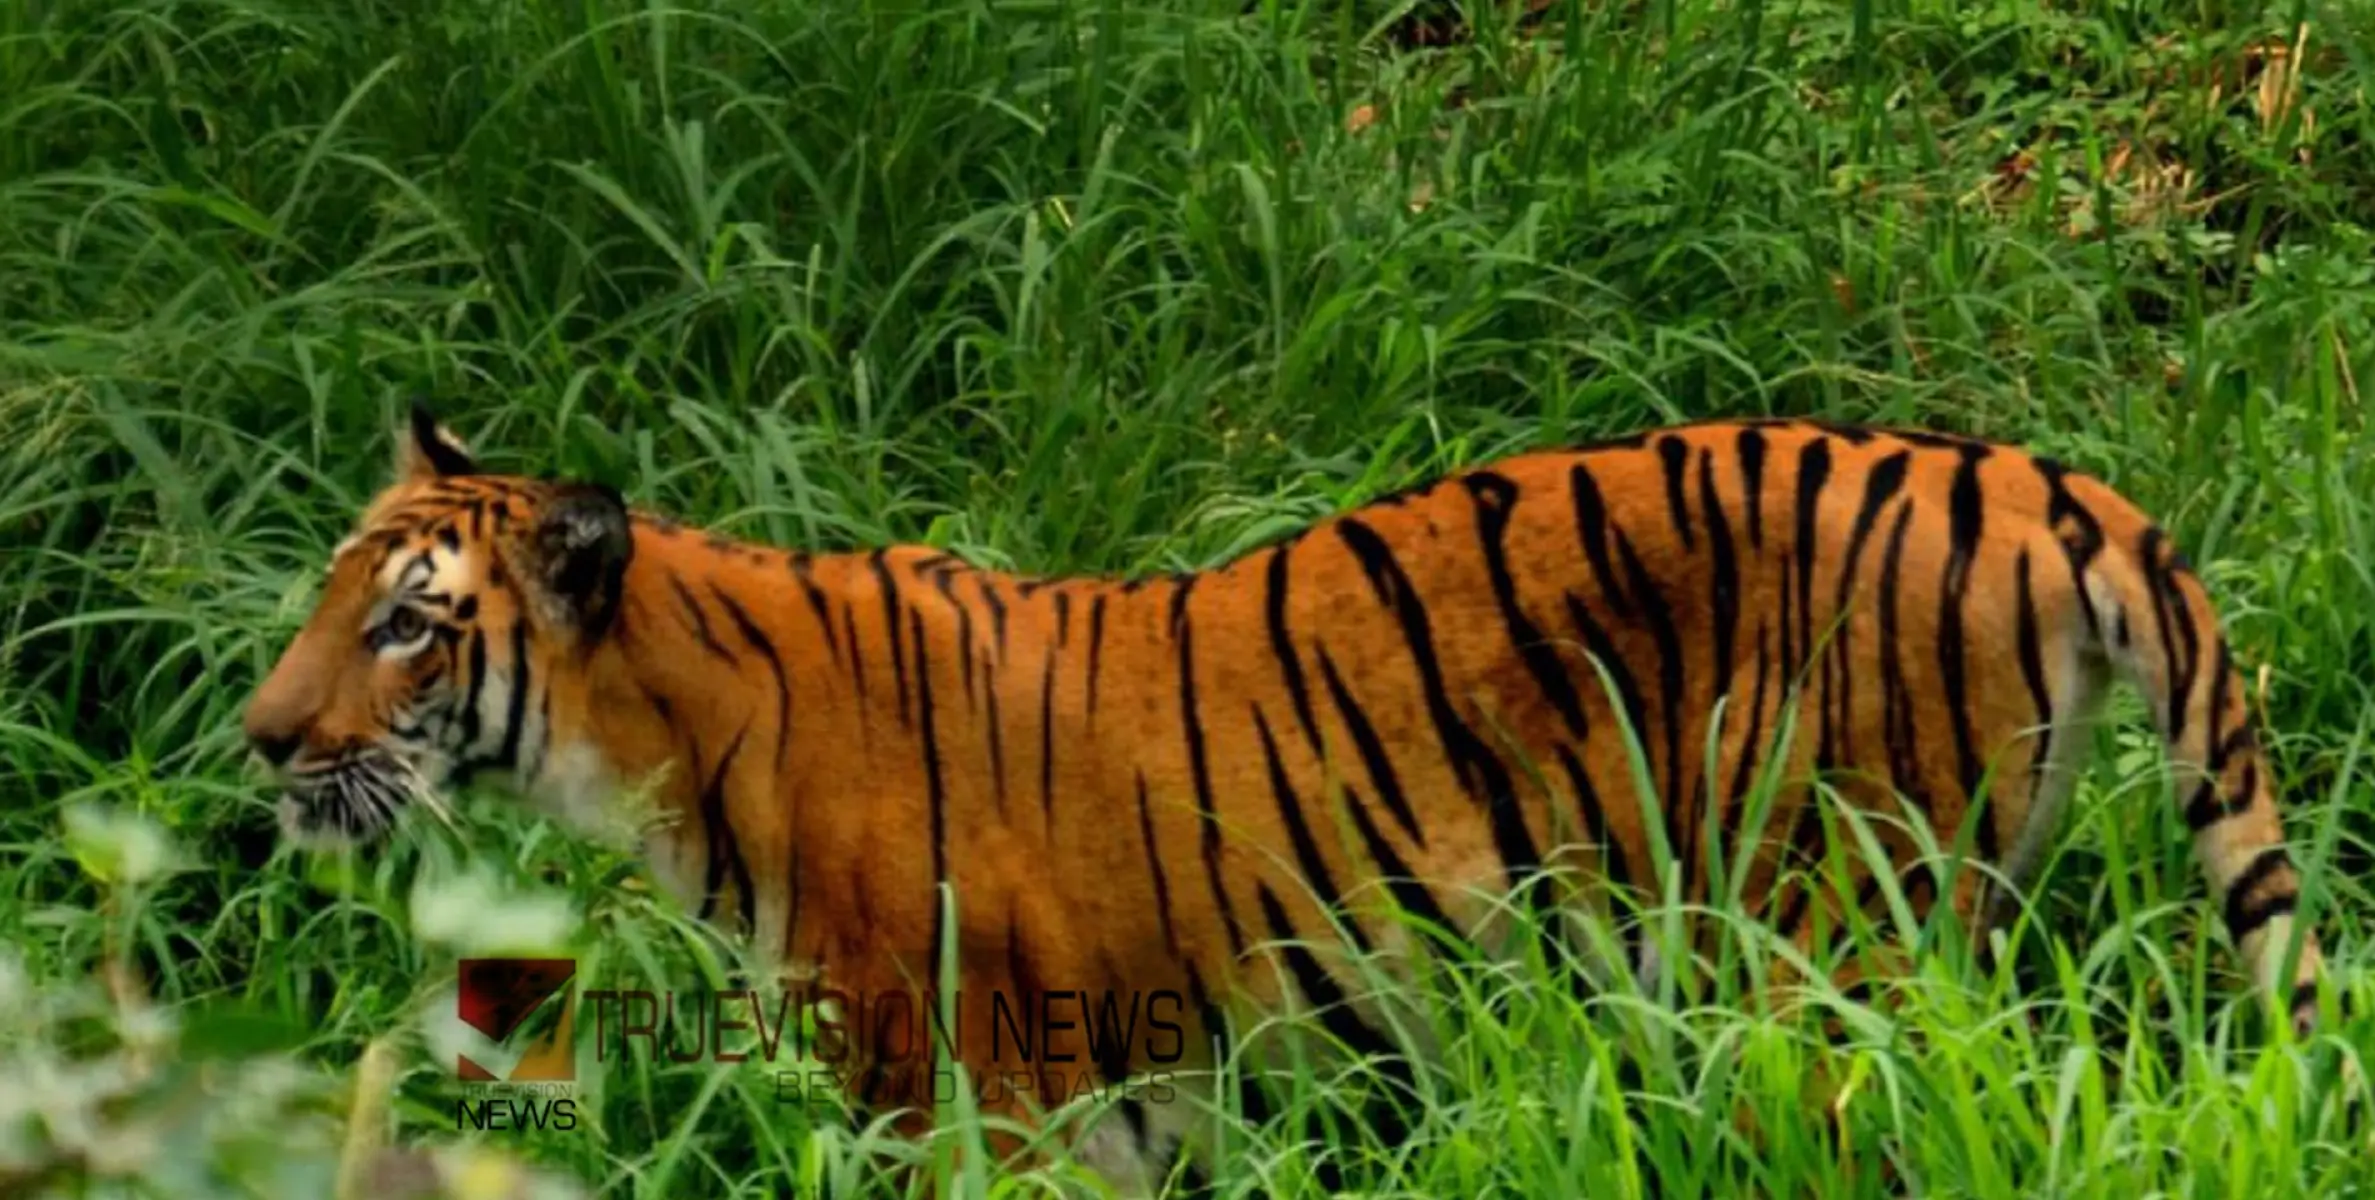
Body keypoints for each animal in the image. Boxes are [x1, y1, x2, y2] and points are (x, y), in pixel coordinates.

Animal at [245, 401, 2337, 1188]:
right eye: (333, 596)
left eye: (409, 627)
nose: (257, 743)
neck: (651, 754)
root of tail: (2019, 472)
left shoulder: (968, 1108)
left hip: (1829, 944)